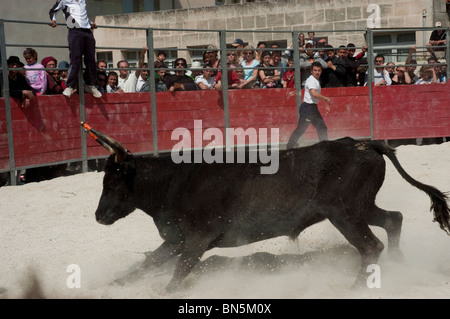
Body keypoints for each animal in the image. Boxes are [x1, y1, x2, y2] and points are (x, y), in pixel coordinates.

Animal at [85, 124, 450, 292]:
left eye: (114, 183)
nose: (99, 216)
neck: (173, 181)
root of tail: (364, 144)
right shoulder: (176, 240)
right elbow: (145, 266)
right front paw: (111, 285)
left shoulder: (196, 240)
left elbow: (176, 275)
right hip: (360, 207)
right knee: (392, 219)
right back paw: (400, 265)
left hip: (345, 214)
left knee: (371, 244)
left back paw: (357, 287)